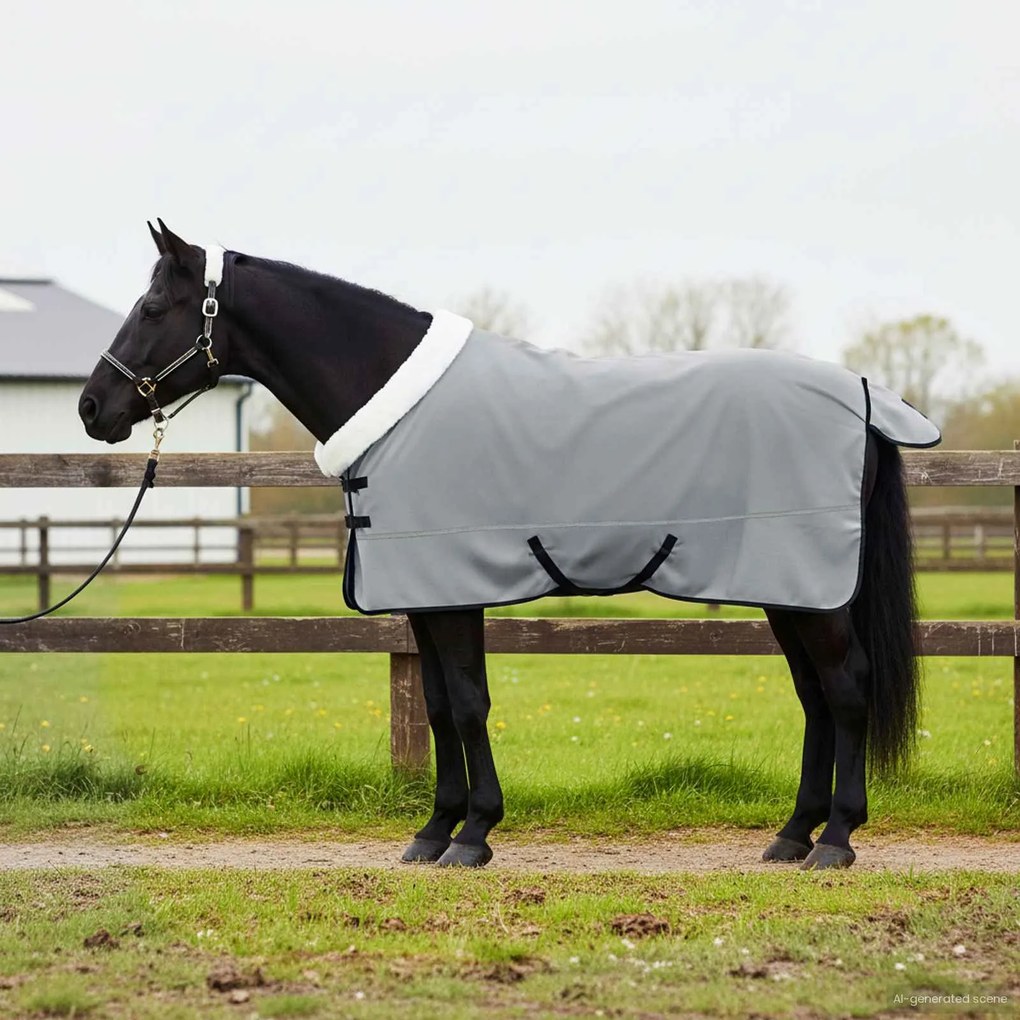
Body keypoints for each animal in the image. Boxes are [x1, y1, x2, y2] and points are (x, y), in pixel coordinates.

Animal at [79, 220, 936, 871]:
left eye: (154, 305)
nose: (92, 406)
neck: (394, 403)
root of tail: (865, 395)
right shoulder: (423, 598)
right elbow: (435, 705)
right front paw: (434, 831)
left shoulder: (453, 592)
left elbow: (466, 704)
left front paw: (475, 834)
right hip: (788, 587)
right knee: (815, 696)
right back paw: (792, 835)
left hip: (812, 590)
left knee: (846, 688)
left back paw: (836, 839)